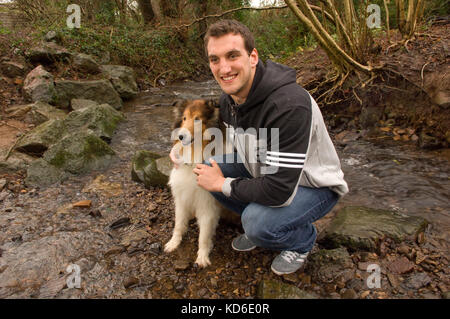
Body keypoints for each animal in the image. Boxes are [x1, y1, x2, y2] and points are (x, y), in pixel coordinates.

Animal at [163, 99, 232, 268]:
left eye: (197, 119)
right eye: (184, 118)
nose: (180, 136)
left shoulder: (207, 204)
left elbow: (204, 235)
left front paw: (202, 257)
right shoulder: (182, 198)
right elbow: (178, 224)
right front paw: (173, 243)